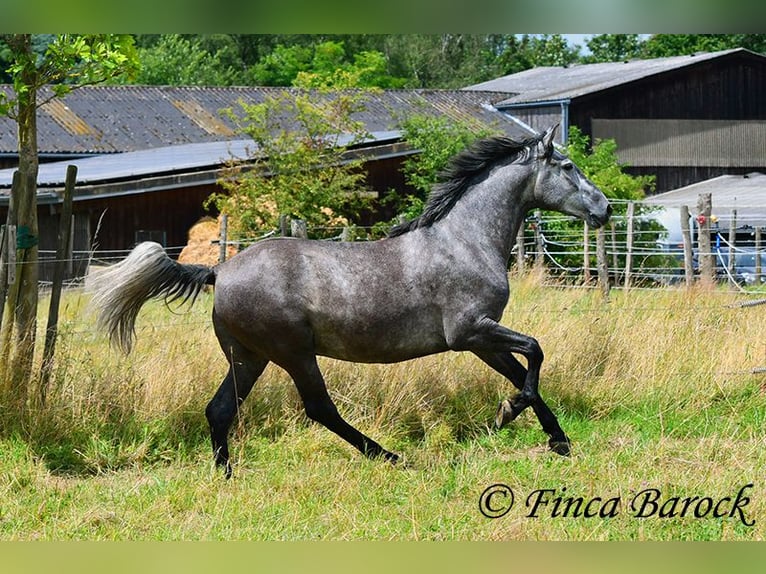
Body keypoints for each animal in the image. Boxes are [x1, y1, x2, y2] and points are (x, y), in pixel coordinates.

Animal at [88, 125, 612, 476]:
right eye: (568, 167)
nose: (604, 208)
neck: (465, 240)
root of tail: (221, 270)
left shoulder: (483, 340)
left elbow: (527, 375)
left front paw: (557, 440)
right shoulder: (471, 331)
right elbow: (535, 353)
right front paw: (508, 414)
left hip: (248, 356)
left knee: (220, 410)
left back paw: (227, 476)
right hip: (293, 353)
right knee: (319, 409)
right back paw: (392, 457)